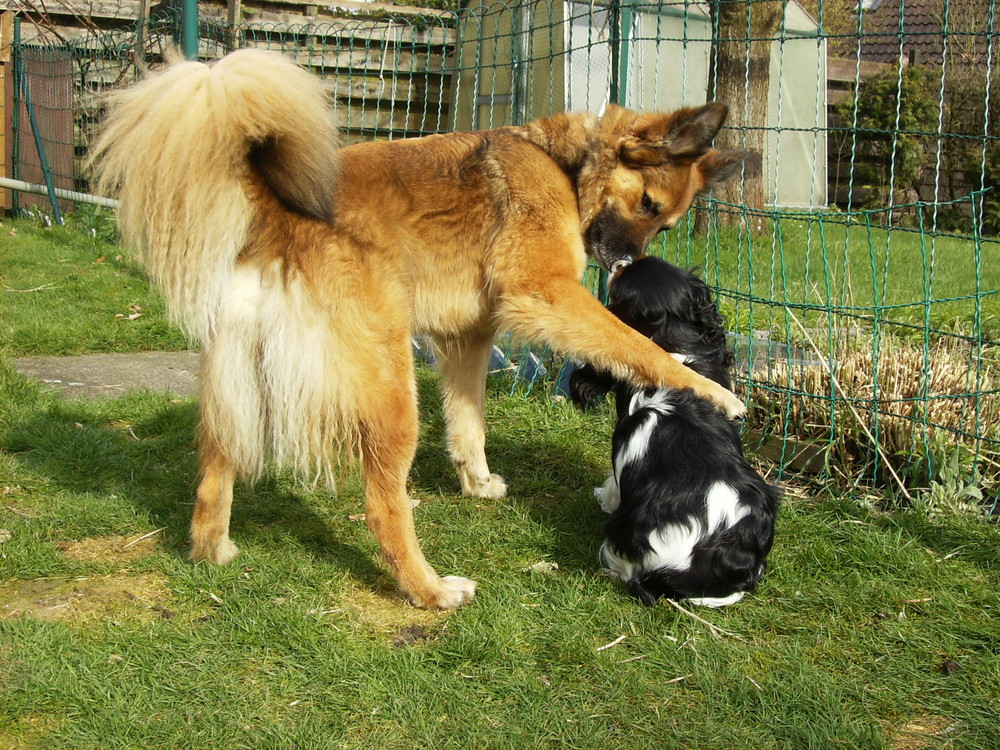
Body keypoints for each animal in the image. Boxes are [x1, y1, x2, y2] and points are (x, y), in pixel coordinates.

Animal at [95, 48, 752, 612]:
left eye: (664, 225)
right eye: (648, 206)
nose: (625, 264)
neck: (563, 165)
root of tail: (277, 213)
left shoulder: (468, 341)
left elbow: (469, 423)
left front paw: (478, 482)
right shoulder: (544, 293)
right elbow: (637, 345)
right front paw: (714, 393)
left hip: (238, 385)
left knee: (214, 472)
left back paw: (213, 550)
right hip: (391, 391)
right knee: (383, 510)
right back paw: (431, 591)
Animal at [576, 258, 776, 612]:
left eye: (621, 281)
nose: (620, 261)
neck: (675, 348)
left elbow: (614, 484)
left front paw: (604, 497)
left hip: (629, 534)